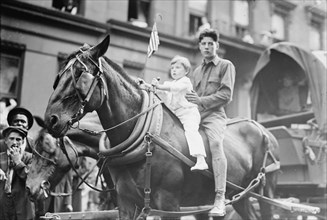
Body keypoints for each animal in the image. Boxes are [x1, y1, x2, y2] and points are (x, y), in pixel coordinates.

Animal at [42, 35, 280, 219]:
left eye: (79, 76)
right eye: (59, 75)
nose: (51, 119)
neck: (146, 137)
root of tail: (265, 131)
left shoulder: (168, 204)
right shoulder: (126, 201)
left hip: (264, 192)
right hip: (240, 197)